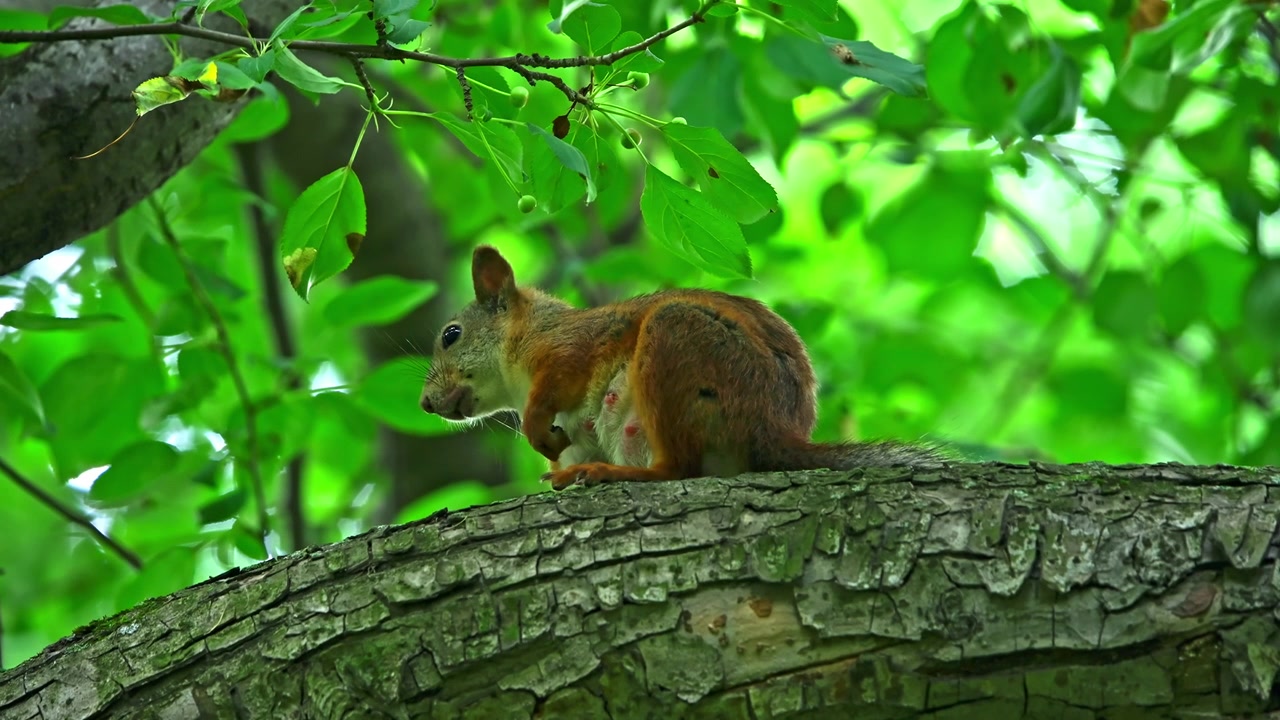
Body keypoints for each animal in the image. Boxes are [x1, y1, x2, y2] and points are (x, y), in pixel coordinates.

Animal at [419, 245, 945, 490]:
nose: (425, 403)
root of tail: (774, 429)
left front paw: (534, 430)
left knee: (679, 470)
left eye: (451, 334)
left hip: (675, 344)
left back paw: (611, 473)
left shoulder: (569, 348)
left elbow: (555, 387)